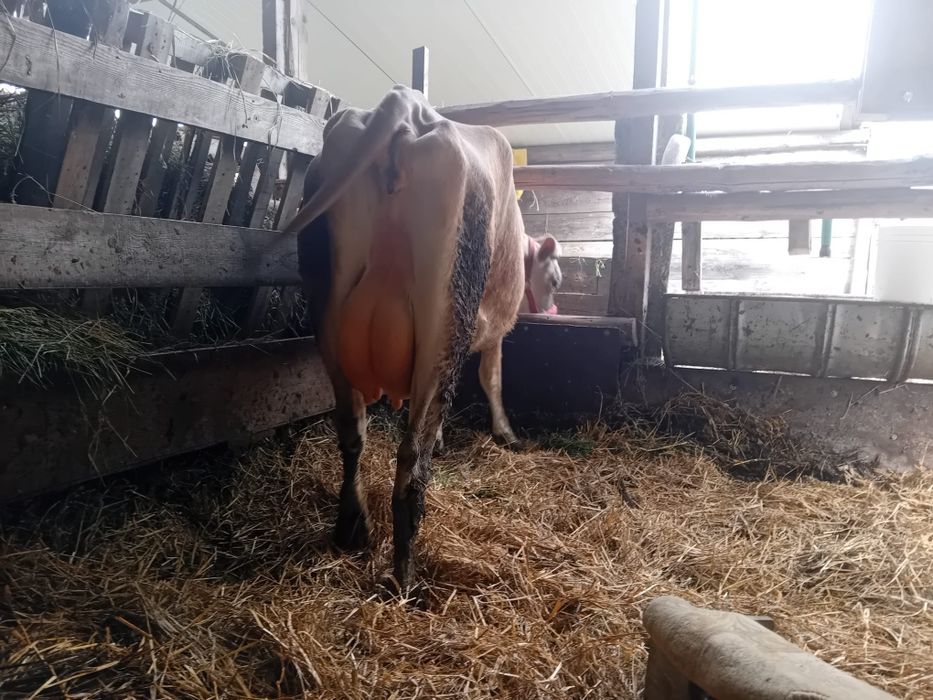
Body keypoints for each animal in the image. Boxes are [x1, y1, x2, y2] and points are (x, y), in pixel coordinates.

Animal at [286, 85, 561, 594]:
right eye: (554, 278)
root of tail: (409, 108)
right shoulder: (493, 332)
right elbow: (493, 380)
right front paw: (506, 433)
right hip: (445, 322)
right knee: (412, 457)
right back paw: (406, 573)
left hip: (325, 305)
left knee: (351, 430)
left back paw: (353, 528)